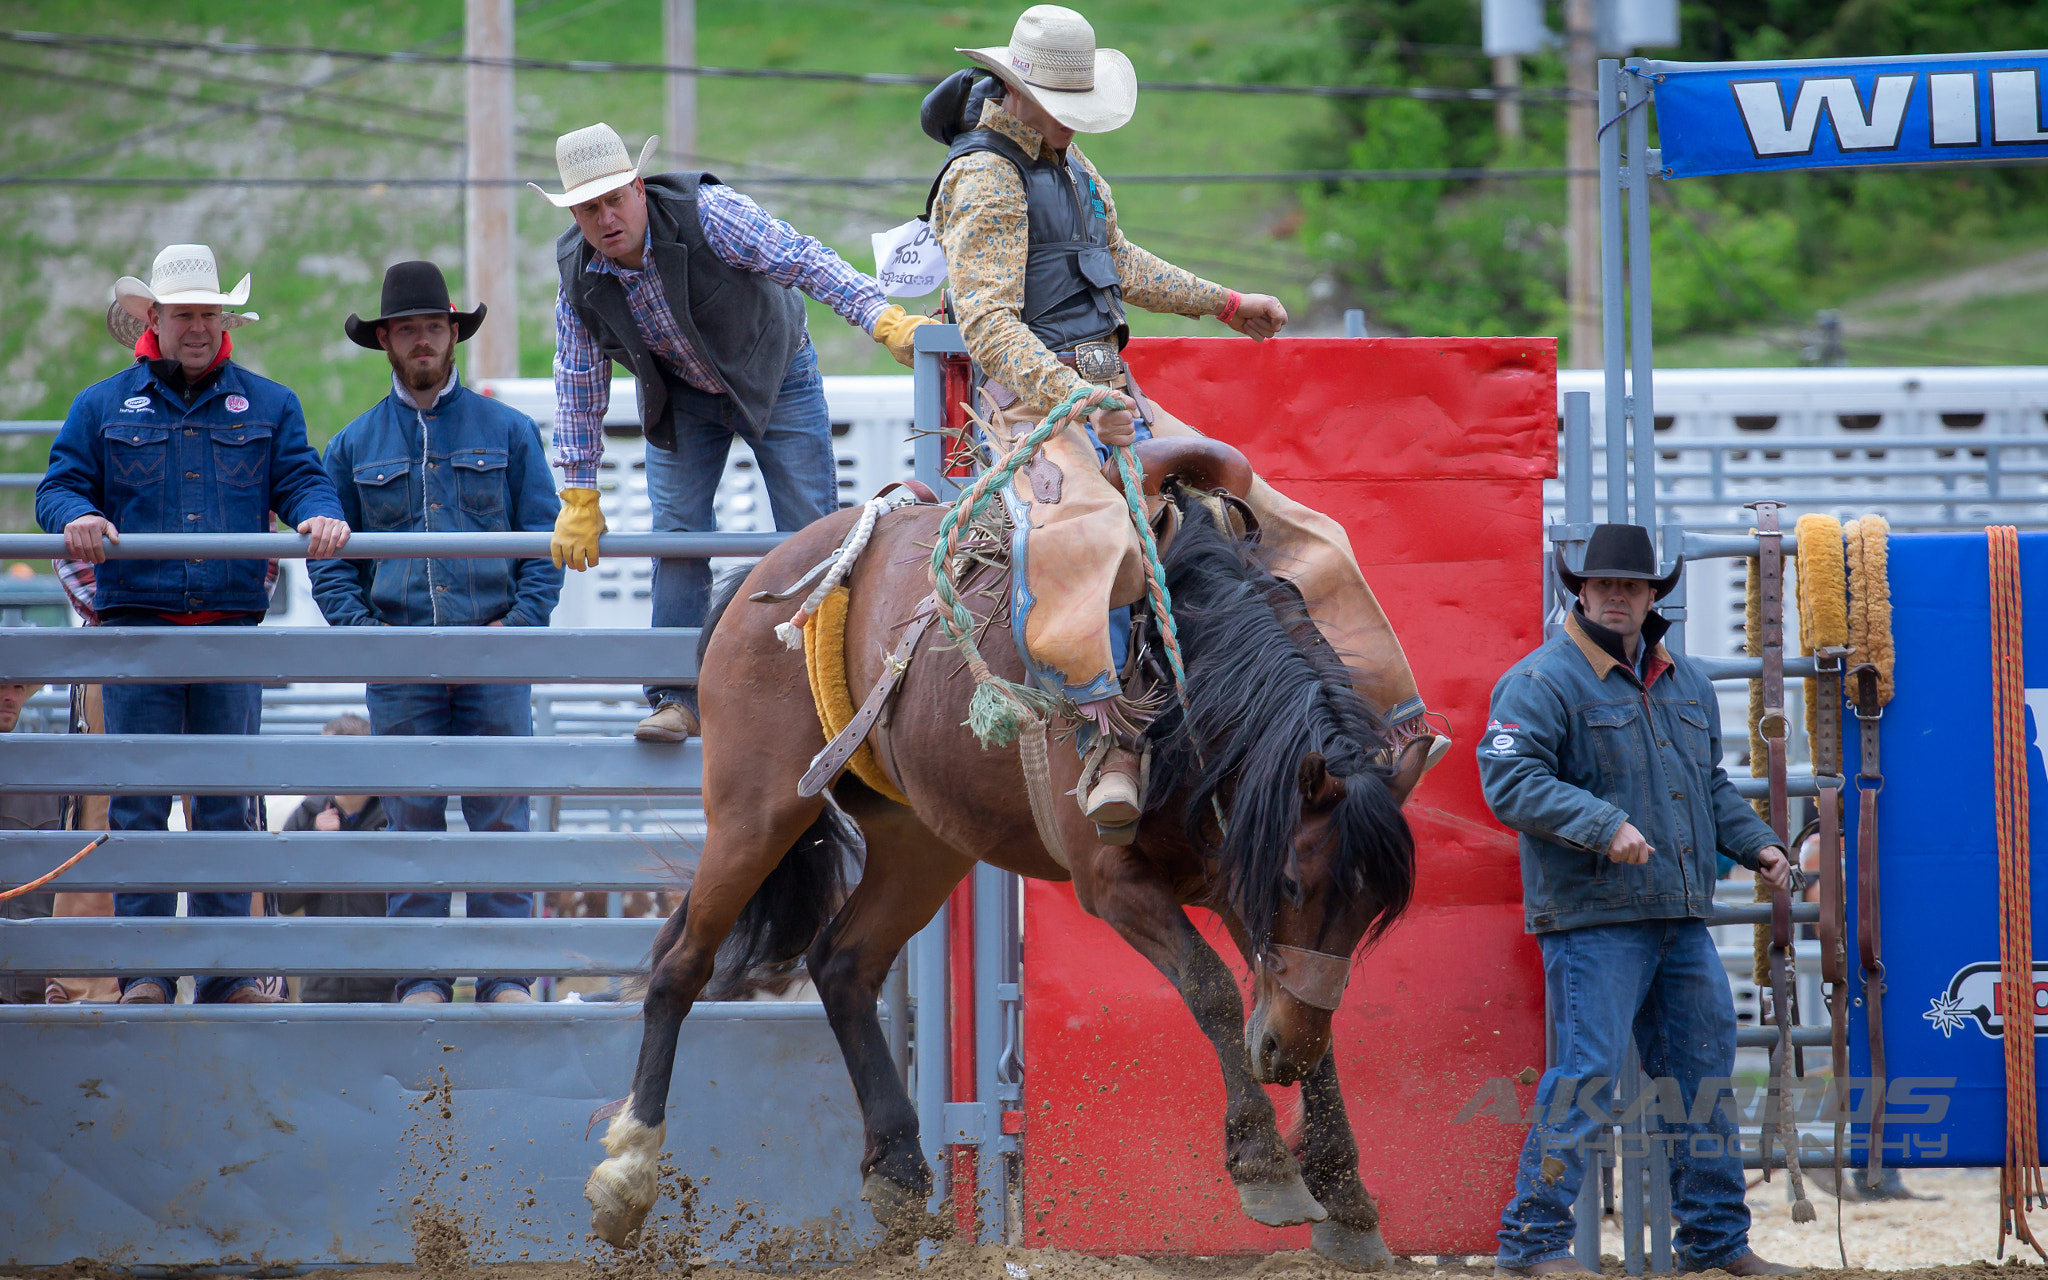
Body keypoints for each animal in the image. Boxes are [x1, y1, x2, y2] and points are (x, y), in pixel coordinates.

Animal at [585, 432, 1433, 1269]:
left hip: (919, 840)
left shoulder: (1232, 875)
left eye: (1371, 911)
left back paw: (898, 1175)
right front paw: (1266, 1167)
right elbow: (1214, 989)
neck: (1190, 673)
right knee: (681, 961)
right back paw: (628, 1174)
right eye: (1292, 884)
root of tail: (764, 578)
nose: (1282, 1057)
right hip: (754, 808)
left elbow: (1304, 1010)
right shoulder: (1116, 882)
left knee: (843, 962)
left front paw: (1348, 1205)